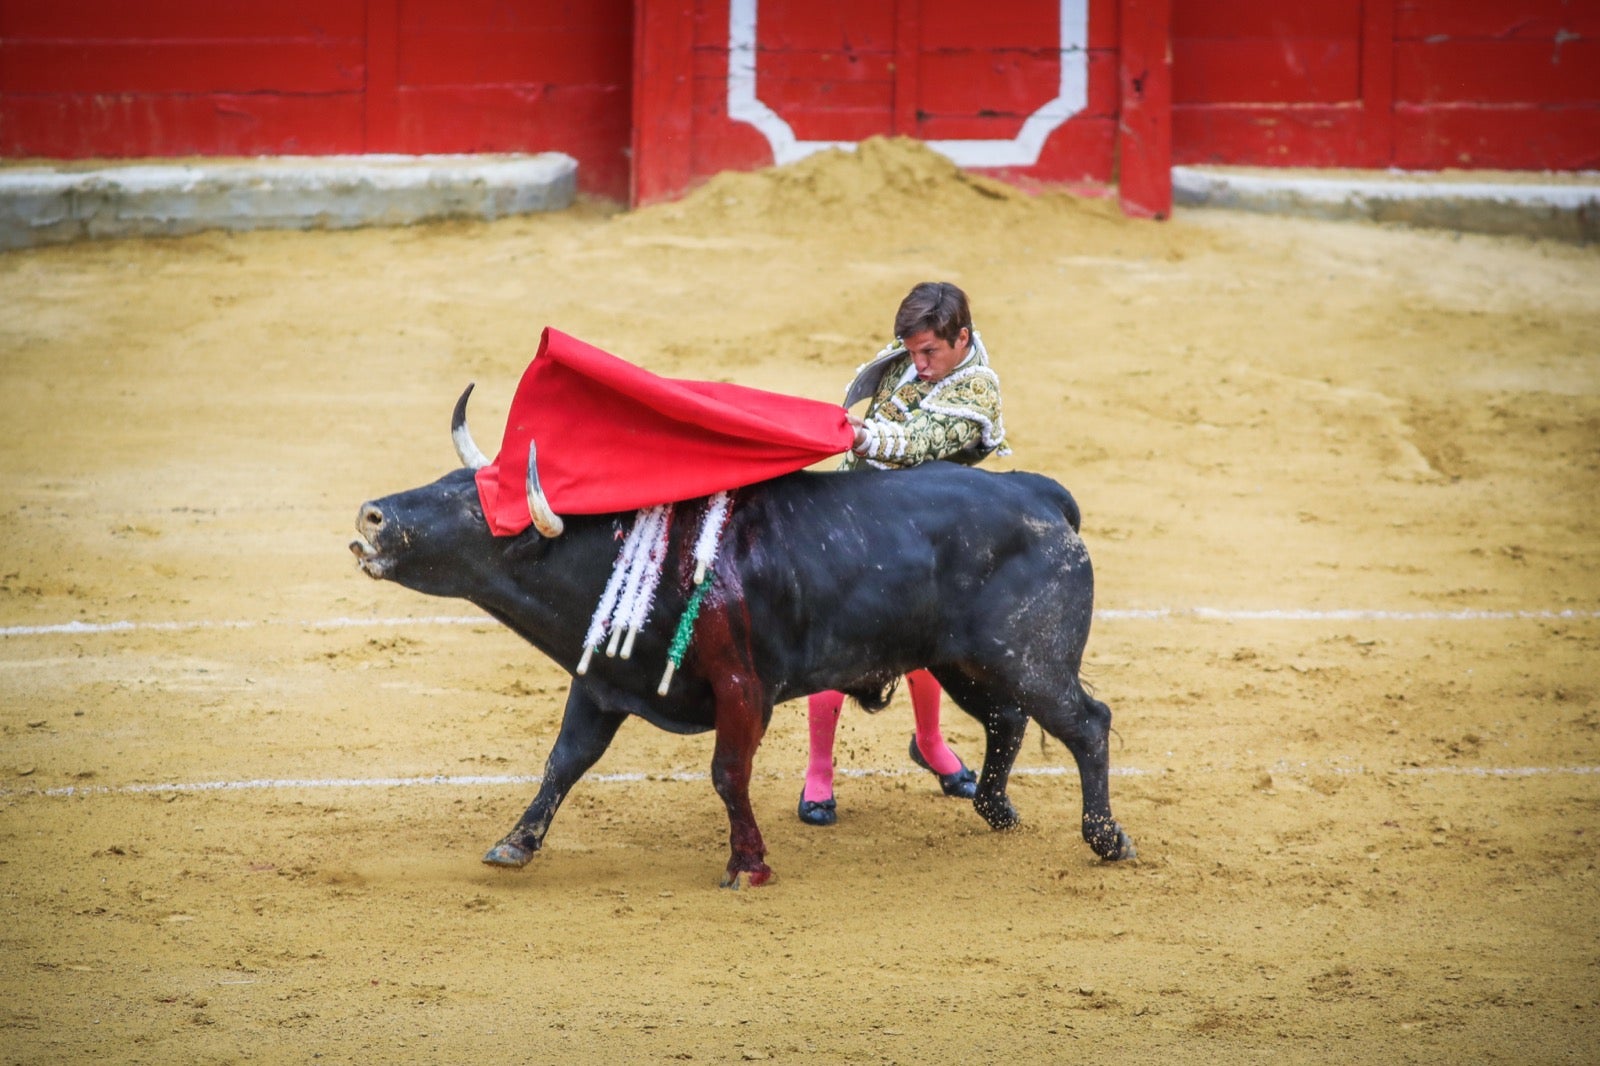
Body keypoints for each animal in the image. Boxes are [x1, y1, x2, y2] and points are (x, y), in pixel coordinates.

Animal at [347, 385, 1139, 883]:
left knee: (1086, 723)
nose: (372, 516)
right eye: (449, 481)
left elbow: (728, 773)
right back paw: (997, 810)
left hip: (1027, 658)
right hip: (963, 662)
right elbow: (562, 763)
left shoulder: (743, 689)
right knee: (1008, 720)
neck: (636, 548)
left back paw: (1107, 840)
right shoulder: (600, 685)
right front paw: (514, 844)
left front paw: (747, 864)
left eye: (479, 510)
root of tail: (1040, 493)